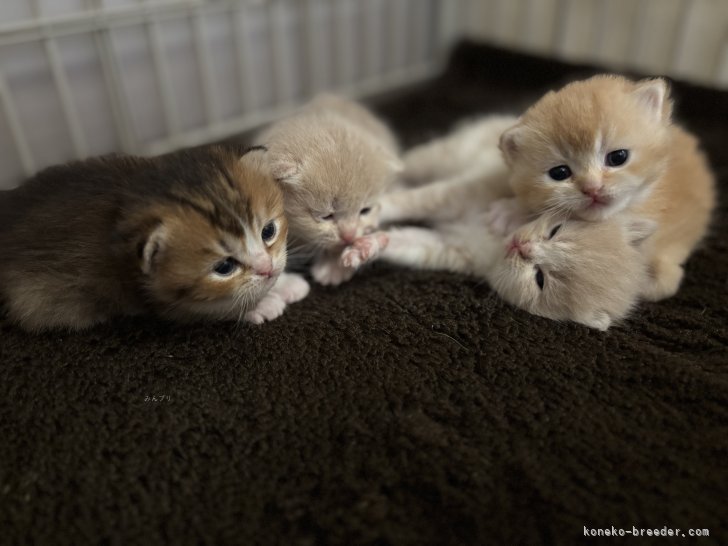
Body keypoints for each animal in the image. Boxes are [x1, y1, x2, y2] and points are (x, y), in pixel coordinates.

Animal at [0, 144, 308, 330]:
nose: (267, 269)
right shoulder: (149, 297)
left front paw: (285, 282)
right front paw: (261, 305)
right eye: (224, 267)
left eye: (268, 231)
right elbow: (209, 310)